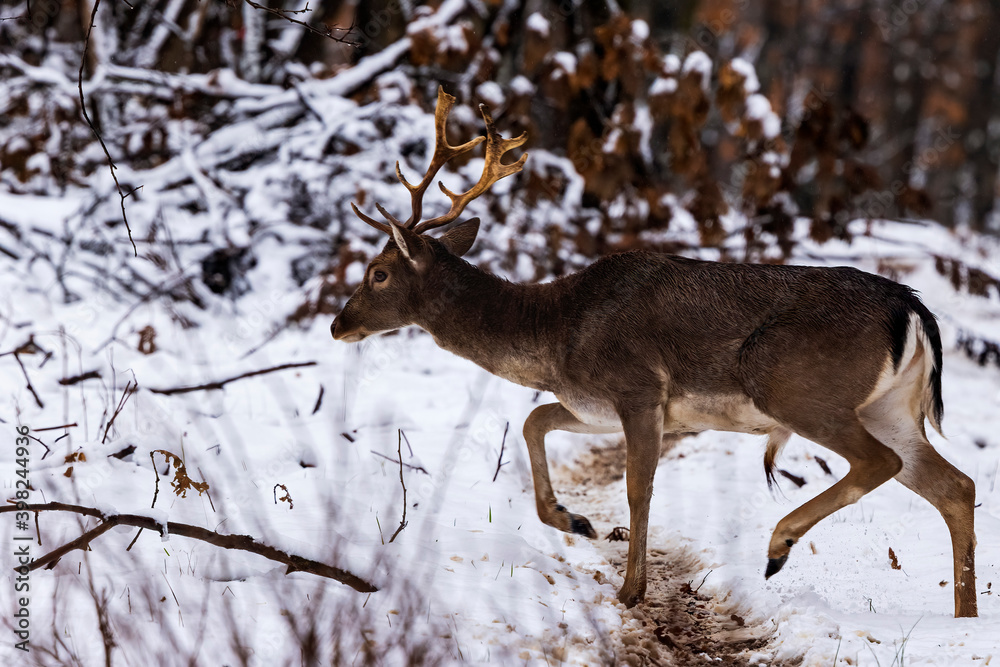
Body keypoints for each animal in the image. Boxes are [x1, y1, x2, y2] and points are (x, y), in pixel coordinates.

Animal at [331, 87, 978, 618]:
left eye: (378, 273)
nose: (339, 325)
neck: (555, 332)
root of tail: (912, 308)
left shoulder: (639, 387)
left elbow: (637, 488)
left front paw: (629, 590)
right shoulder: (597, 405)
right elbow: (535, 419)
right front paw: (574, 521)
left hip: (796, 384)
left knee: (879, 463)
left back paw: (778, 546)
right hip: (888, 407)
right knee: (955, 485)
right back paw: (964, 616)